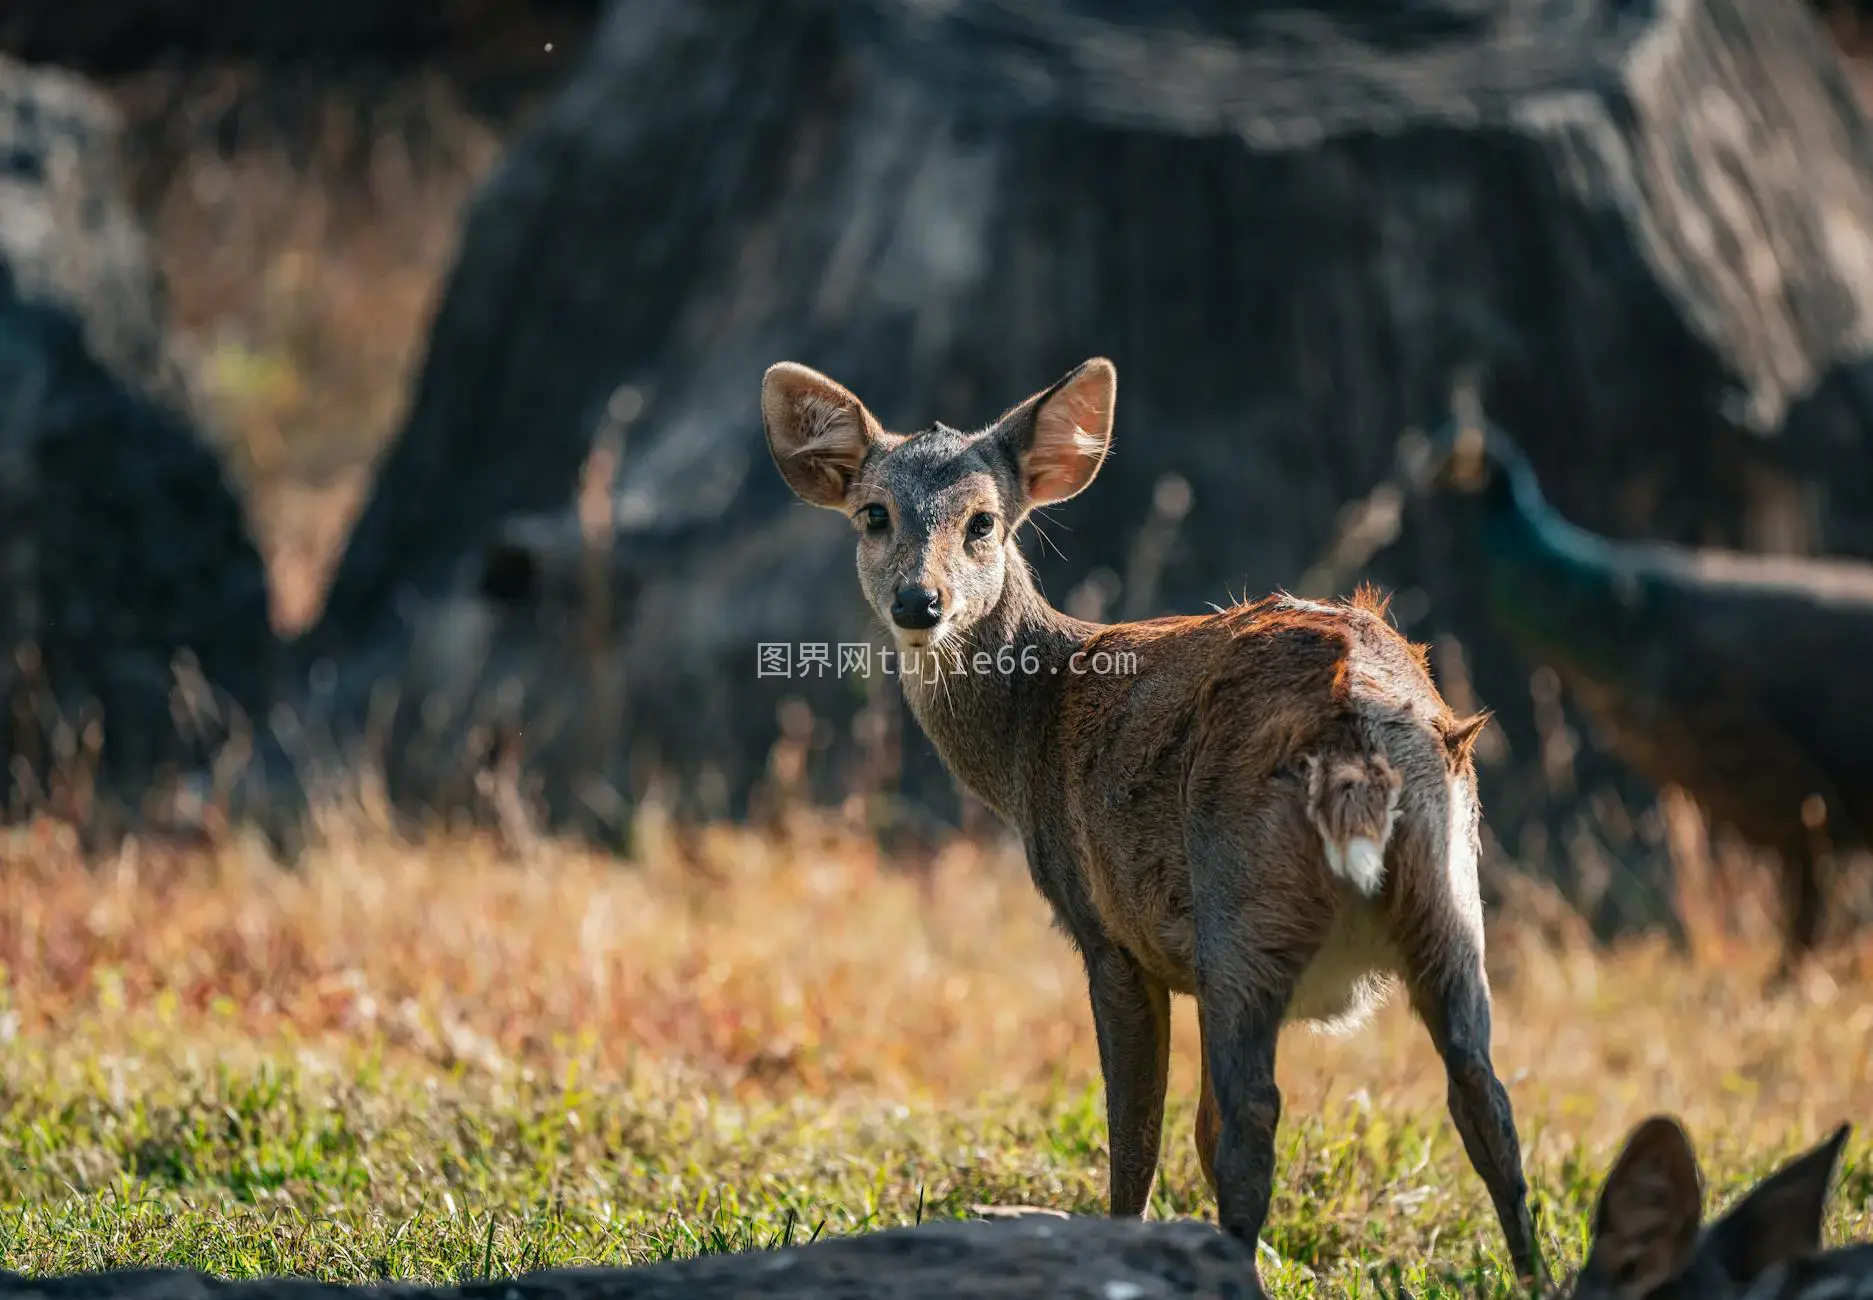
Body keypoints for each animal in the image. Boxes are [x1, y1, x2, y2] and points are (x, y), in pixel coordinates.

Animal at [752, 354, 1543, 1296]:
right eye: (874, 514)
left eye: (984, 522)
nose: (920, 600)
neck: (1028, 731)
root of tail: (1355, 719)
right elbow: (1191, 1127)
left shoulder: (1109, 934)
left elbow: (1136, 1128)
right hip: (1448, 894)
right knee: (1484, 1095)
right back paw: (1536, 1274)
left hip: (1242, 904)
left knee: (1253, 1115)